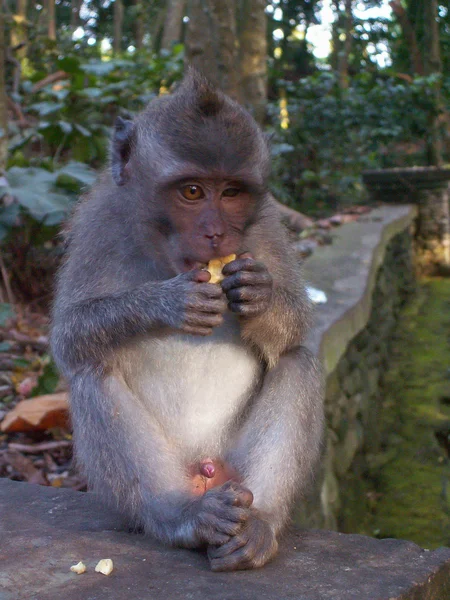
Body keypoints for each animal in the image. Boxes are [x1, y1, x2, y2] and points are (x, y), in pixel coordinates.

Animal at [51, 69, 324, 572]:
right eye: (192, 192)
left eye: (231, 192)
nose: (216, 232)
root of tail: (206, 471)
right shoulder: (101, 221)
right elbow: (69, 338)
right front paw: (168, 302)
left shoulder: (264, 225)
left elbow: (295, 327)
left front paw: (259, 295)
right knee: (94, 372)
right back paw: (183, 518)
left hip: (236, 466)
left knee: (297, 361)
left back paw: (259, 524)